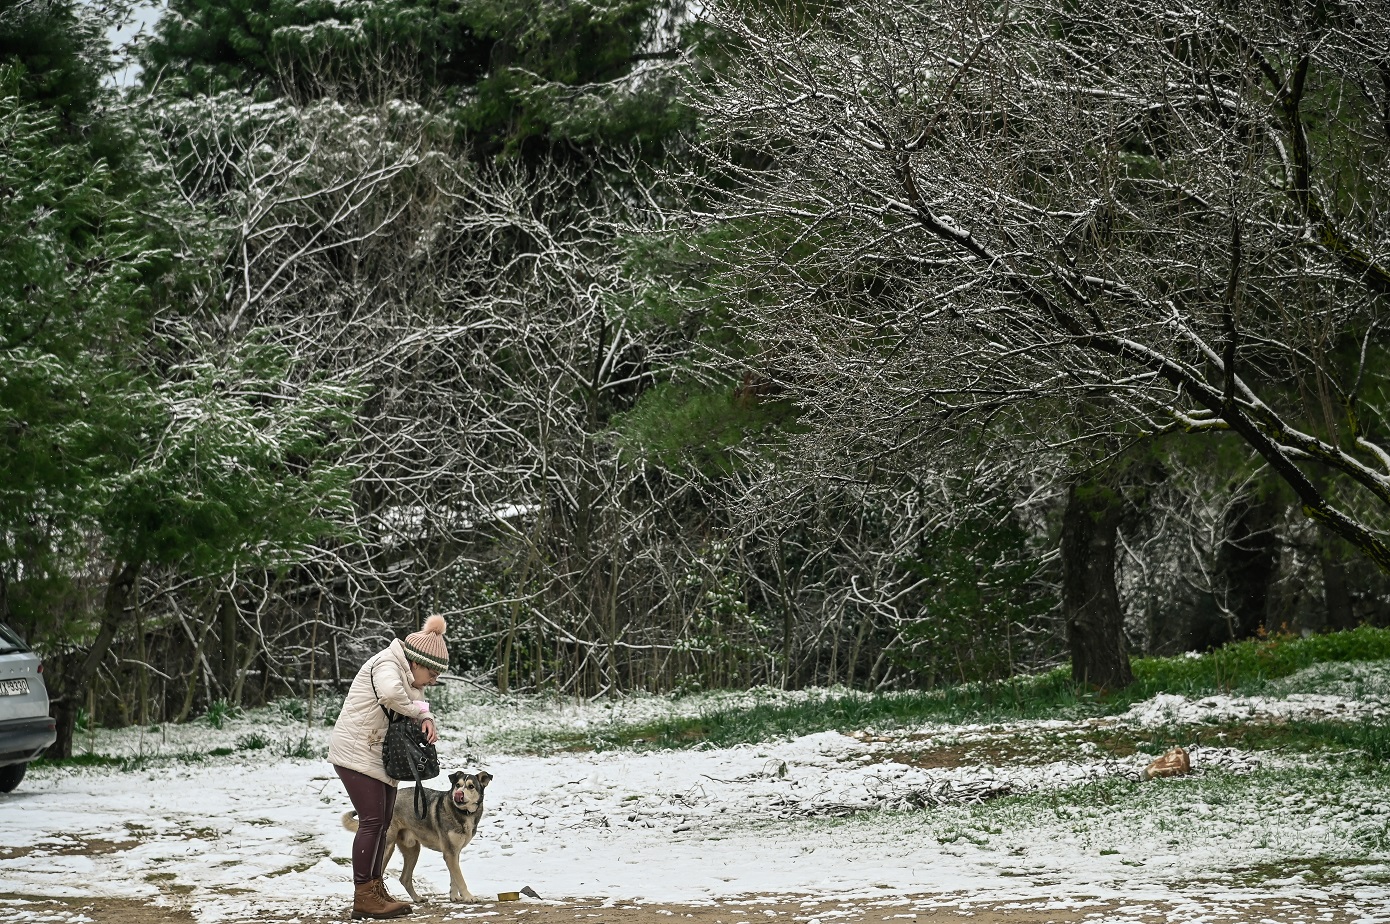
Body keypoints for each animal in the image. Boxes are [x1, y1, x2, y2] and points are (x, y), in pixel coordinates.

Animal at [341, 766, 494, 905]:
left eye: (471, 786)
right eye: (457, 785)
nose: (458, 794)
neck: (464, 813)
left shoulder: (454, 852)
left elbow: (454, 877)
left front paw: (454, 896)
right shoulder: (449, 852)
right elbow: (460, 878)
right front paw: (469, 897)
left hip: (413, 850)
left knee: (404, 878)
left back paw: (417, 898)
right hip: (387, 847)